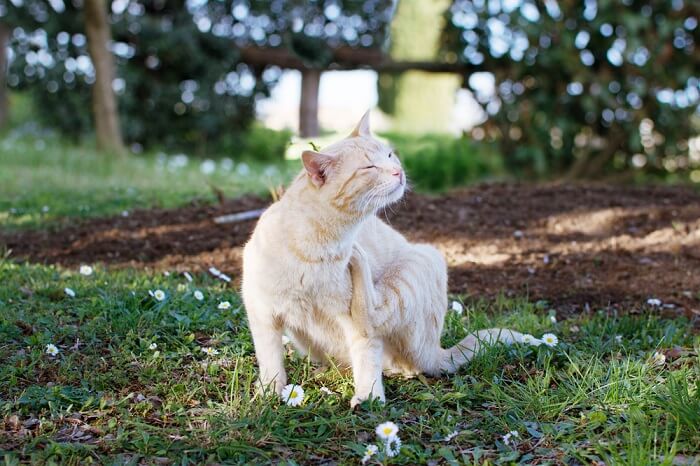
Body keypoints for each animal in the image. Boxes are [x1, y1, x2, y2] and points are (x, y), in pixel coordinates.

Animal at [241, 111, 520, 406]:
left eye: (389, 155)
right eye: (369, 167)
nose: (398, 172)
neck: (321, 246)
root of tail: (436, 351)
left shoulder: (352, 324)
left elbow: (366, 353)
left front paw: (369, 398)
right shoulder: (261, 314)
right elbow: (270, 361)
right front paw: (269, 392)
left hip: (424, 258)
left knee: (374, 320)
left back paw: (358, 258)